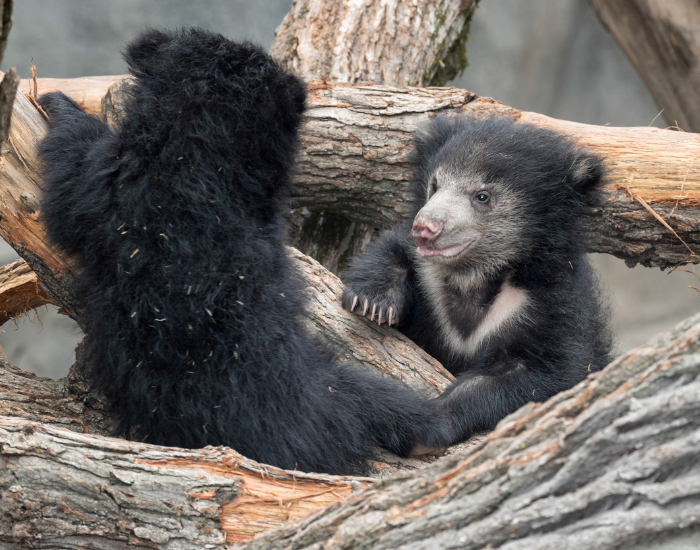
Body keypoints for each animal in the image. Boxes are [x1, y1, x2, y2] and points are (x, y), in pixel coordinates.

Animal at [37, 28, 450, 475]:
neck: (197, 156)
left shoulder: (116, 190)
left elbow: (70, 190)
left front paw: (56, 104)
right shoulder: (121, 192)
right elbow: (72, 189)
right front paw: (57, 102)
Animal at [342, 115, 613, 446]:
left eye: (482, 197)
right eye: (435, 185)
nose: (425, 227)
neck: (473, 275)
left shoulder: (551, 302)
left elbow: (548, 374)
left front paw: (431, 421)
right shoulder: (427, 279)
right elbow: (393, 249)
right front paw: (371, 302)